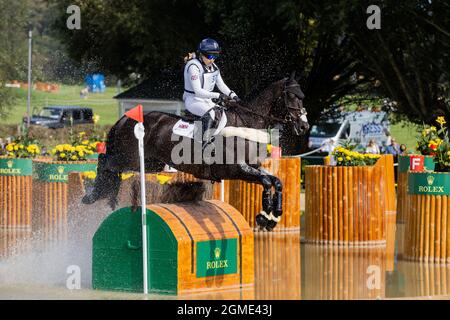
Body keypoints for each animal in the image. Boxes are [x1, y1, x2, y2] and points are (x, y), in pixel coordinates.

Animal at [83, 73, 310, 230]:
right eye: (292, 96)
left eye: (302, 96)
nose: (304, 126)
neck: (248, 122)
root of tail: (124, 118)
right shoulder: (236, 169)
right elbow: (266, 182)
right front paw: (263, 215)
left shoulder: (251, 167)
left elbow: (276, 181)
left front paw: (273, 217)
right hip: (129, 156)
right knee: (106, 160)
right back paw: (92, 194)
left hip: (150, 163)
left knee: (113, 166)